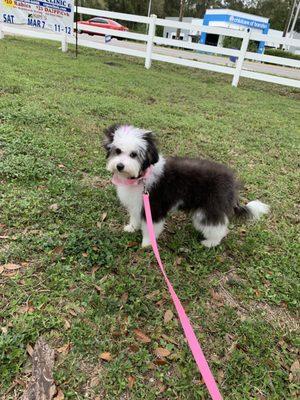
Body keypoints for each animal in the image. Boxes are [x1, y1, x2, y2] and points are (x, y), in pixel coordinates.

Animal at [103, 124, 270, 247]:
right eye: (117, 151)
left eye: (133, 155)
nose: (119, 166)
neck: (141, 176)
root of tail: (231, 183)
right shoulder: (138, 204)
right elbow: (135, 218)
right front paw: (131, 228)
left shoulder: (154, 206)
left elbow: (151, 228)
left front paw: (147, 244)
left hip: (208, 209)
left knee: (218, 227)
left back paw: (210, 242)